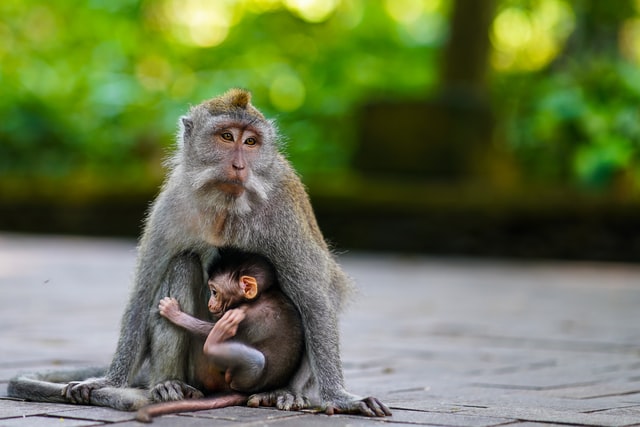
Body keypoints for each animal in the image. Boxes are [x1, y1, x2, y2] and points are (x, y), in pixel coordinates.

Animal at [135, 248, 304, 422]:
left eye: (215, 292)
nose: (210, 304)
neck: (261, 296)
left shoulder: (244, 315)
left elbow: (209, 330)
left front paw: (173, 312)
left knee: (256, 360)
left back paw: (214, 343)